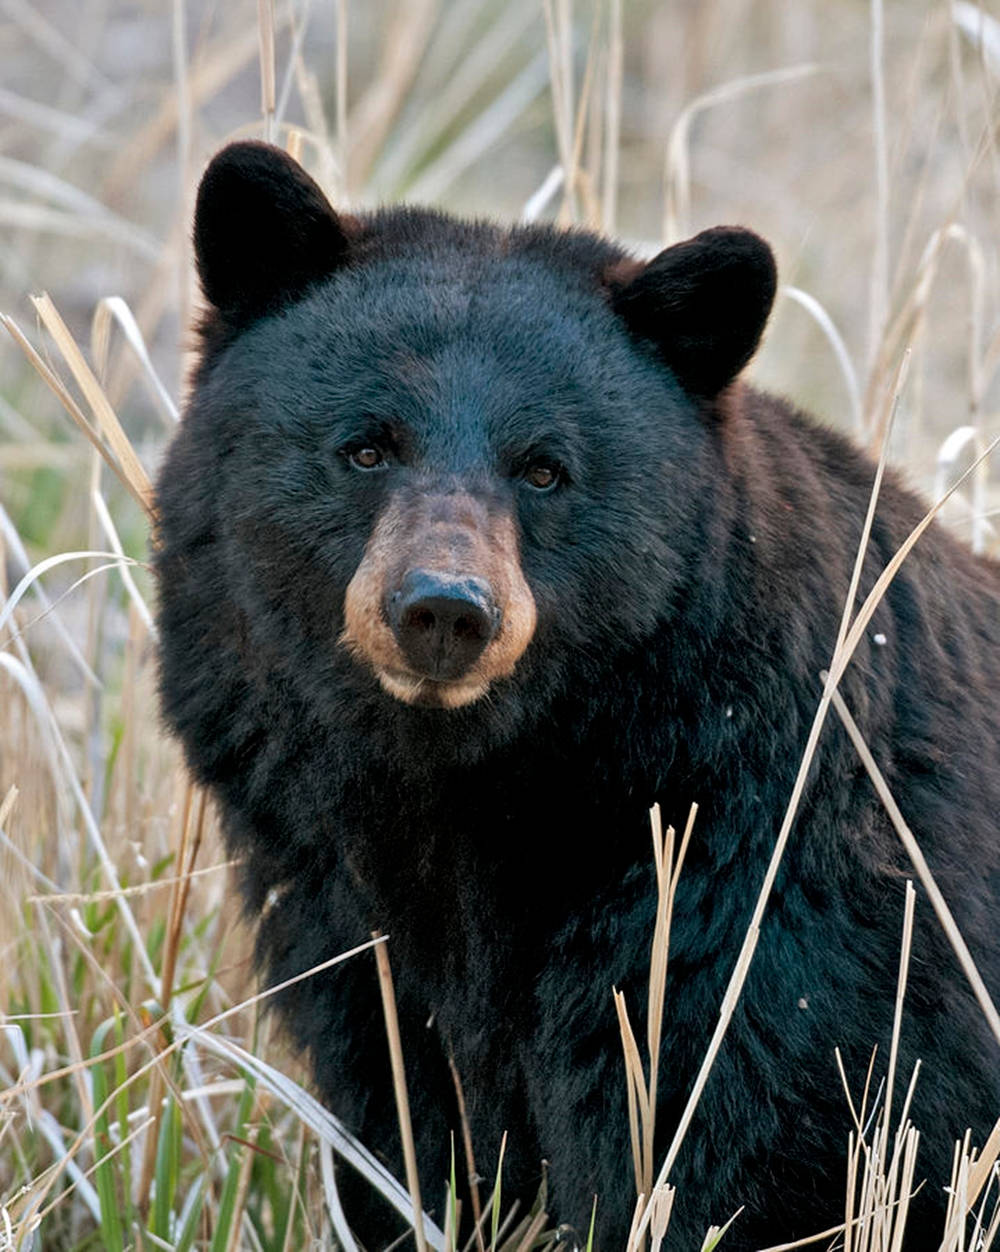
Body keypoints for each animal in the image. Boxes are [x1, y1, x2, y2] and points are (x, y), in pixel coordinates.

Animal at [152, 142, 996, 1246]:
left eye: (545, 468)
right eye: (366, 445)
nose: (443, 609)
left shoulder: (759, 913)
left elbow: (727, 1154)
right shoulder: (345, 931)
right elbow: (405, 1123)